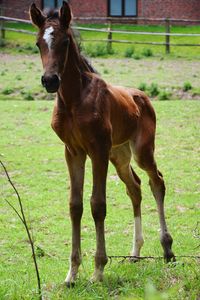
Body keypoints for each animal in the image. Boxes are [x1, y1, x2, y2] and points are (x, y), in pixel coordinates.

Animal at [29, 1, 175, 288]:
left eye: (65, 42)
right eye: (39, 43)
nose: (50, 81)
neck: (74, 100)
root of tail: (142, 97)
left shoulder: (97, 150)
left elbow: (97, 204)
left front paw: (98, 270)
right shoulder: (73, 152)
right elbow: (75, 205)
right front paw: (72, 274)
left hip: (141, 151)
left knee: (157, 182)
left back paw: (167, 249)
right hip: (119, 155)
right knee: (135, 188)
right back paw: (135, 253)